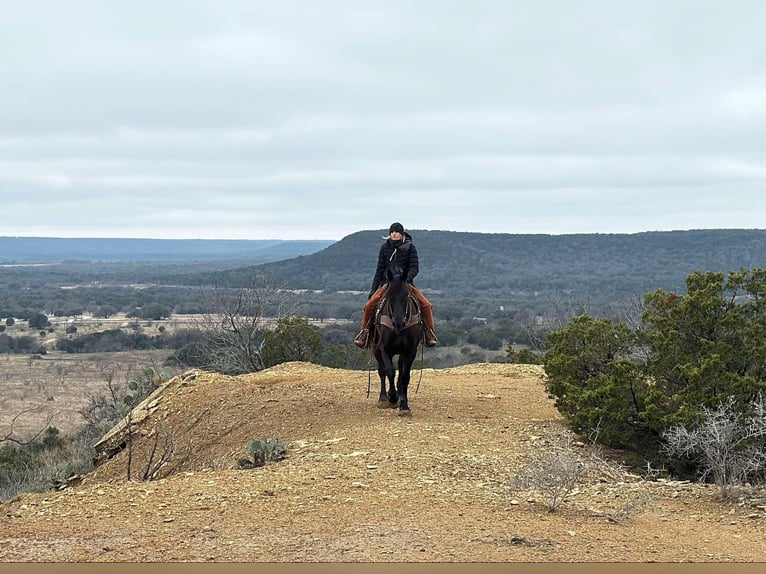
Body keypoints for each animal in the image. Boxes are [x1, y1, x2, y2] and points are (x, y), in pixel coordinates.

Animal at [371, 273, 423, 416]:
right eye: (389, 297)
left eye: (407, 296)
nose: (398, 323)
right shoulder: (383, 348)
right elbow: (389, 371)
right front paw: (392, 397)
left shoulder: (410, 351)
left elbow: (405, 376)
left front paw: (404, 406)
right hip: (376, 349)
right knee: (382, 370)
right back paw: (383, 398)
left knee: (400, 366)